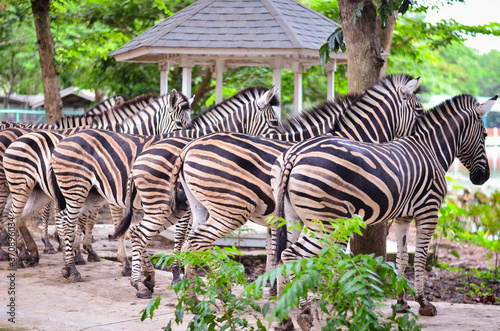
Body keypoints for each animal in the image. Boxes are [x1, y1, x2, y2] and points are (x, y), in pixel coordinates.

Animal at [1, 91, 187, 268]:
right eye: (179, 124)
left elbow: (88, 220)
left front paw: (83, 250)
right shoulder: (112, 193)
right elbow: (109, 222)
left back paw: (22, 251)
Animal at [49, 85, 282, 286]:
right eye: (274, 123)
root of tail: (62, 141)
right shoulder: (183, 204)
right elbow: (180, 237)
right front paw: (176, 274)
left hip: (91, 193)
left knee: (64, 219)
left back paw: (69, 264)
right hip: (76, 188)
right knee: (67, 221)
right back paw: (72, 268)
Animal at [272, 93, 494, 330]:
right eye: (484, 135)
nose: (483, 178)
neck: (430, 149)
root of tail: (294, 154)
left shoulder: (403, 218)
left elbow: (403, 258)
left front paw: (401, 303)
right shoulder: (429, 211)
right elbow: (420, 259)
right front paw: (424, 303)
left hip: (293, 219)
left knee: (281, 257)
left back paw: (283, 317)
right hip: (327, 224)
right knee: (291, 255)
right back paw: (304, 312)